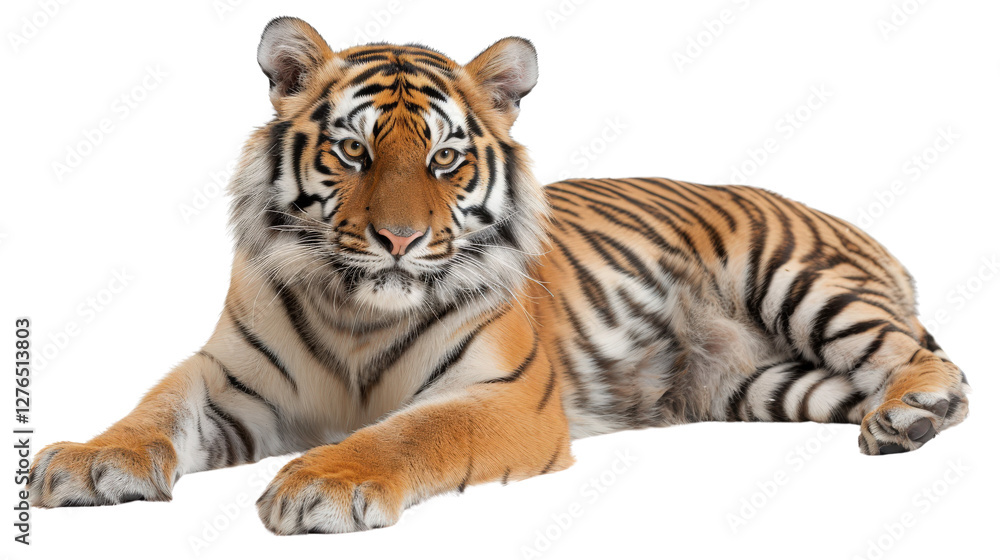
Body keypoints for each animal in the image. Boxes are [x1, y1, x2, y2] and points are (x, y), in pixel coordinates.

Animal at [28, 17, 970, 535]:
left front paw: (324, 483)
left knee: (925, 356)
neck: (357, 314)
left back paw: (912, 409)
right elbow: (154, 408)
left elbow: (409, 434)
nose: (399, 239)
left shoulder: (505, 396)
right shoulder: (227, 379)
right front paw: (90, 461)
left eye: (444, 159)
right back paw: (907, 424)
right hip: (759, 384)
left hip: (801, 275)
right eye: (353, 151)